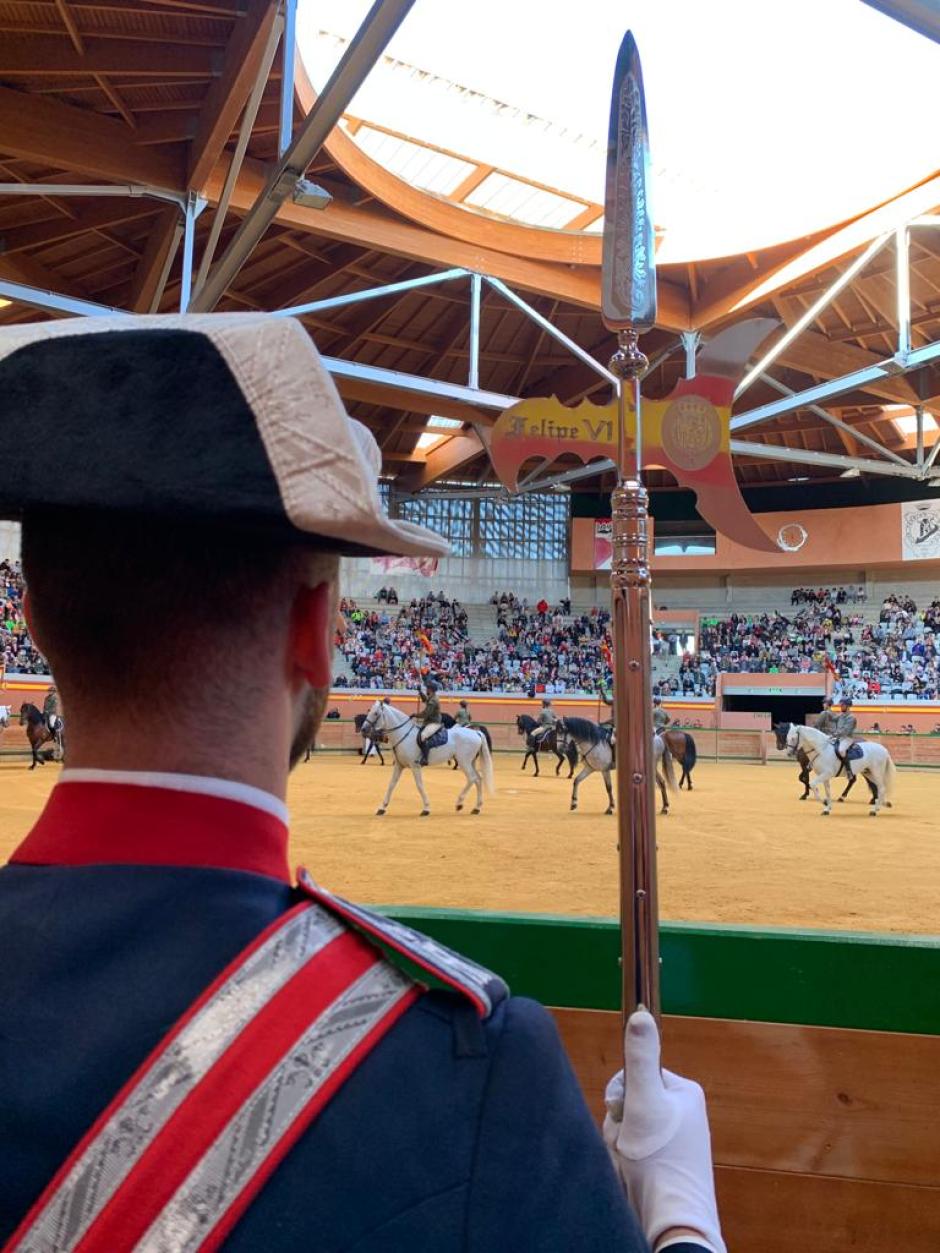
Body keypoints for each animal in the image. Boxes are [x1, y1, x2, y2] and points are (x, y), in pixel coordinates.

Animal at [358, 701, 496, 816]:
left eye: (376, 713)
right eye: (369, 711)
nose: (363, 729)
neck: (403, 734)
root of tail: (476, 732)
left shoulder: (415, 766)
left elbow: (419, 785)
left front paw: (426, 808)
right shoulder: (399, 765)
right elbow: (391, 785)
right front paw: (382, 808)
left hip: (464, 762)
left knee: (472, 778)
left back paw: (459, 803)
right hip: (470, 762)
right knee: (478, 779)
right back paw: (476, 808)